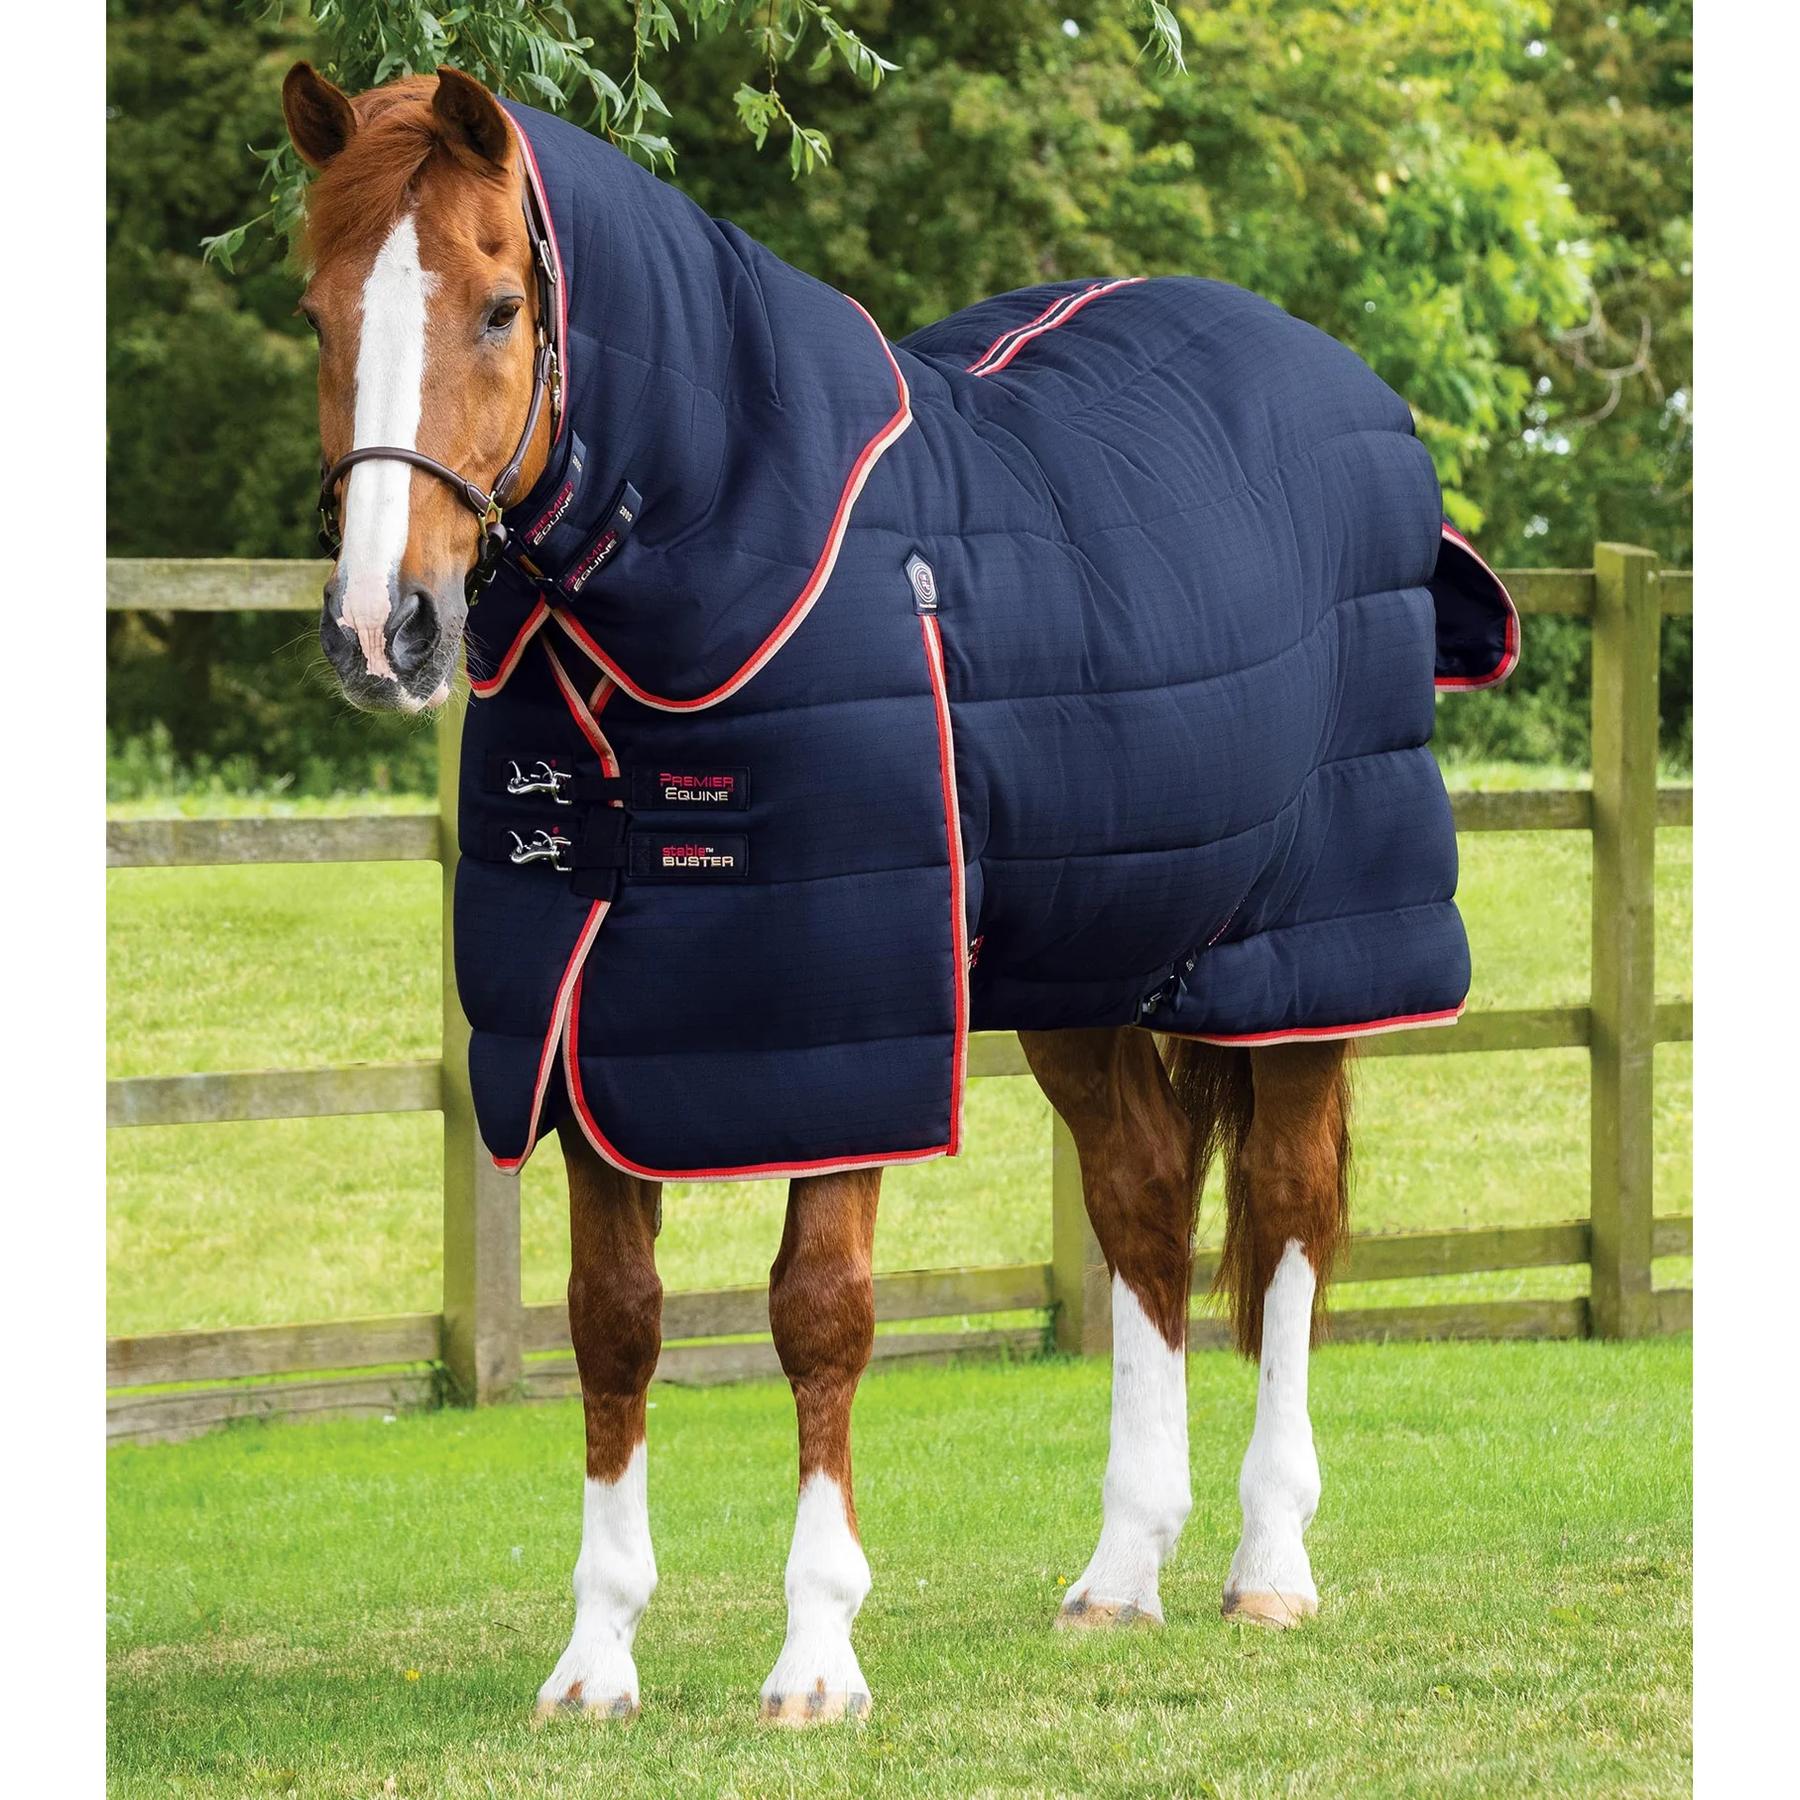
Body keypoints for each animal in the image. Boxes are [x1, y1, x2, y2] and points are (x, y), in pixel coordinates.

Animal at [282, 62, 1513, 1723]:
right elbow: (613, 1325)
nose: (382, 629)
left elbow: (821, 1314)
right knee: (1141, 1204)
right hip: (1084, 970)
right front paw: (596, 1662)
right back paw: (1123, 1575)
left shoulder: (845, 1039)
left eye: (498, 306)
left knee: (1291, 1217)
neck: (727, 568)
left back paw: (1269, 1567)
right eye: (319, 309)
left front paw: (816, 1657)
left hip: (1307, 964)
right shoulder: (594, 1037)